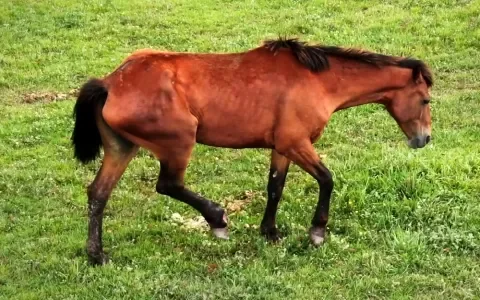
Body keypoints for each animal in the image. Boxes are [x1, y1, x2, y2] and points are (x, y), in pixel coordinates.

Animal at [72, 37, 436, 264]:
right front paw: (317, 232)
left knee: (98, 193)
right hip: (178, 143)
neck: (317, 80)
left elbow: (275, 186)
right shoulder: (296, 143)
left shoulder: (282, 147)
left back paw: (97, 255)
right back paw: (217, 219)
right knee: (168, 184)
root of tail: (110, 83)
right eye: (425, 100)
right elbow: (327, 179)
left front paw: (270, 232)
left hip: (122, 148)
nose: (424, 139)